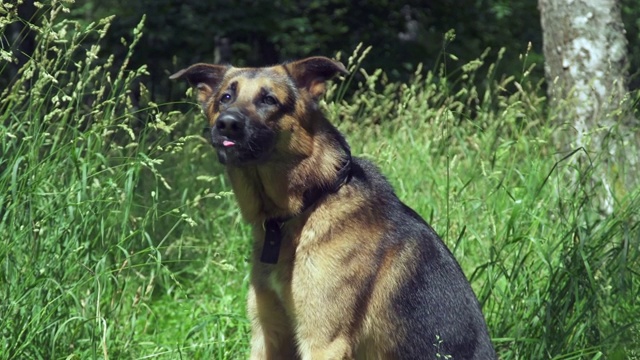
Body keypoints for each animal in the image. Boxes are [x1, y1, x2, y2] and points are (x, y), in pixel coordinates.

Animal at [172, 56, 498, 360]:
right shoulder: (268, 335)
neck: (311, 202)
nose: (227, 124)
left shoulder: (324, 341)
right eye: (226, 97)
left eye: (269, 100)